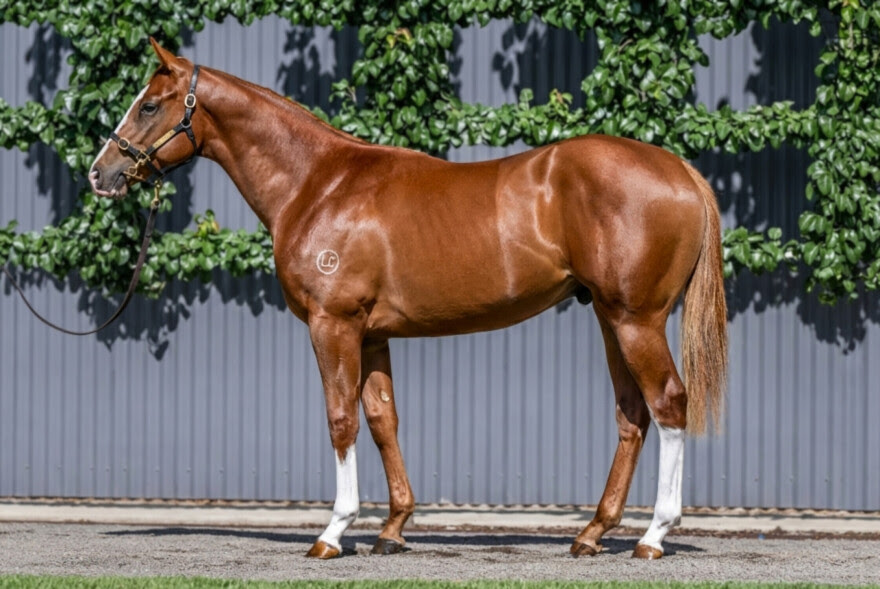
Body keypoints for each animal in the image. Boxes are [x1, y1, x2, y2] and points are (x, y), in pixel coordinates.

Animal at [89, 38, 727, 560]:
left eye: (150, 106)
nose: (100, 173)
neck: (318, 184)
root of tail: (680, 171)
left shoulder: (333, 325)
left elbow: (341, 419)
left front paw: (333, 531)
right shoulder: (373, 333)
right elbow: (381, 419)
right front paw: (392, 529)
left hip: (635, 320)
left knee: (669, 404)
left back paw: (653, 536)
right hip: (609, 317)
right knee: (633, 413)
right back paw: (591, 534)